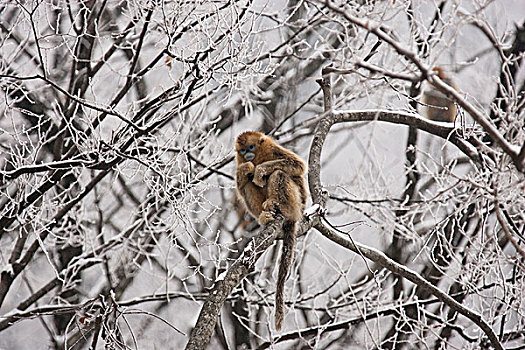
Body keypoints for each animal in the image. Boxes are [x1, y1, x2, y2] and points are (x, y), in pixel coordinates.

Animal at [234, 131, 308, 330]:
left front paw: (260, 169)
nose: (247, 154)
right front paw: (247, 167)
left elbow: (297, 166)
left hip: (296, 203)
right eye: (242, 150)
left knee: (279, 173)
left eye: (251, 147)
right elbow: (243, 179)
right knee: (247, 183)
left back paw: (279, 204)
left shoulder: (271, 147)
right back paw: (265, 215)